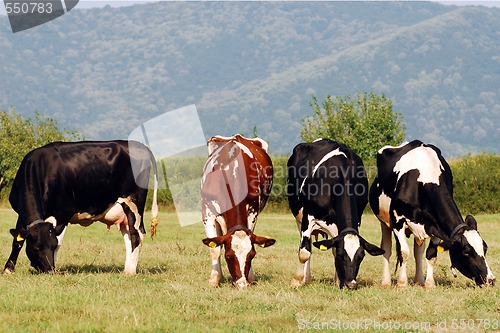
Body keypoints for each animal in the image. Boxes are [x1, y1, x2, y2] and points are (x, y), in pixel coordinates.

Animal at [3, 139, 158, 274]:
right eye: (36, 246)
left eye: (52, 245)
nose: (49, 270)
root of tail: (139, 145)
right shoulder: (21, 215)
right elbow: (17, 241)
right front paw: (8, 269)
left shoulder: (63, 213)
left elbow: (59, 240)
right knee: (128, 236)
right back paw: (126, 269)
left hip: (134, 203)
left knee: (137, 234)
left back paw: (130, 271)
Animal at [201, 134, 276, 288]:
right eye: (229, 256)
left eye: (252, 255)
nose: (241, 284)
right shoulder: (207, 213)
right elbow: (214, 248)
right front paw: (214, 279)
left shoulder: (253, 211)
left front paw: (251, 277)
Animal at [288, 137, 384, 288]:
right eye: (341, 255)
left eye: (361, 257)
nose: (351, 284)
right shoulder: (308, 217)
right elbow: (304, 252)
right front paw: (296, 280)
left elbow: (332, 247)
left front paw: (339, 280)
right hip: (299, 217)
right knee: (306, 246)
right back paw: (305, 278)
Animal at [370, 140, 494, 288]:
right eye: (466, 252)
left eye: (485, 248)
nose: (491, 280)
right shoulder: (397, 221)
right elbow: (404, 253)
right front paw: (402, 283)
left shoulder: (437, 225)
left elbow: (431, 254)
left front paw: (429, 284)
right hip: (384, 221)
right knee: (387, 249)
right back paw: (386, 281)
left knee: (418, 252)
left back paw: (419, 280)